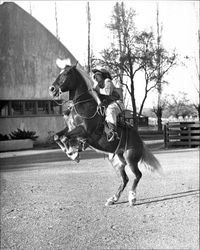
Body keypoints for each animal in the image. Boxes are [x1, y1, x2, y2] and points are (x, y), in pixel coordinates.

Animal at [48, 58, 162, 205]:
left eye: (66, 73)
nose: (52, 89)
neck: (82, 104)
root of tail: (140, 140)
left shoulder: (84, 130)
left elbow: (63, 138)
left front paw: (74, 153)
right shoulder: (71, 129)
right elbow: (57, 136)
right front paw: (72, 152)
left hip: (130, 158)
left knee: (137, 175)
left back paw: (132, 198)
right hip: (118, 162)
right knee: (125, 179)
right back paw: (113, 199)